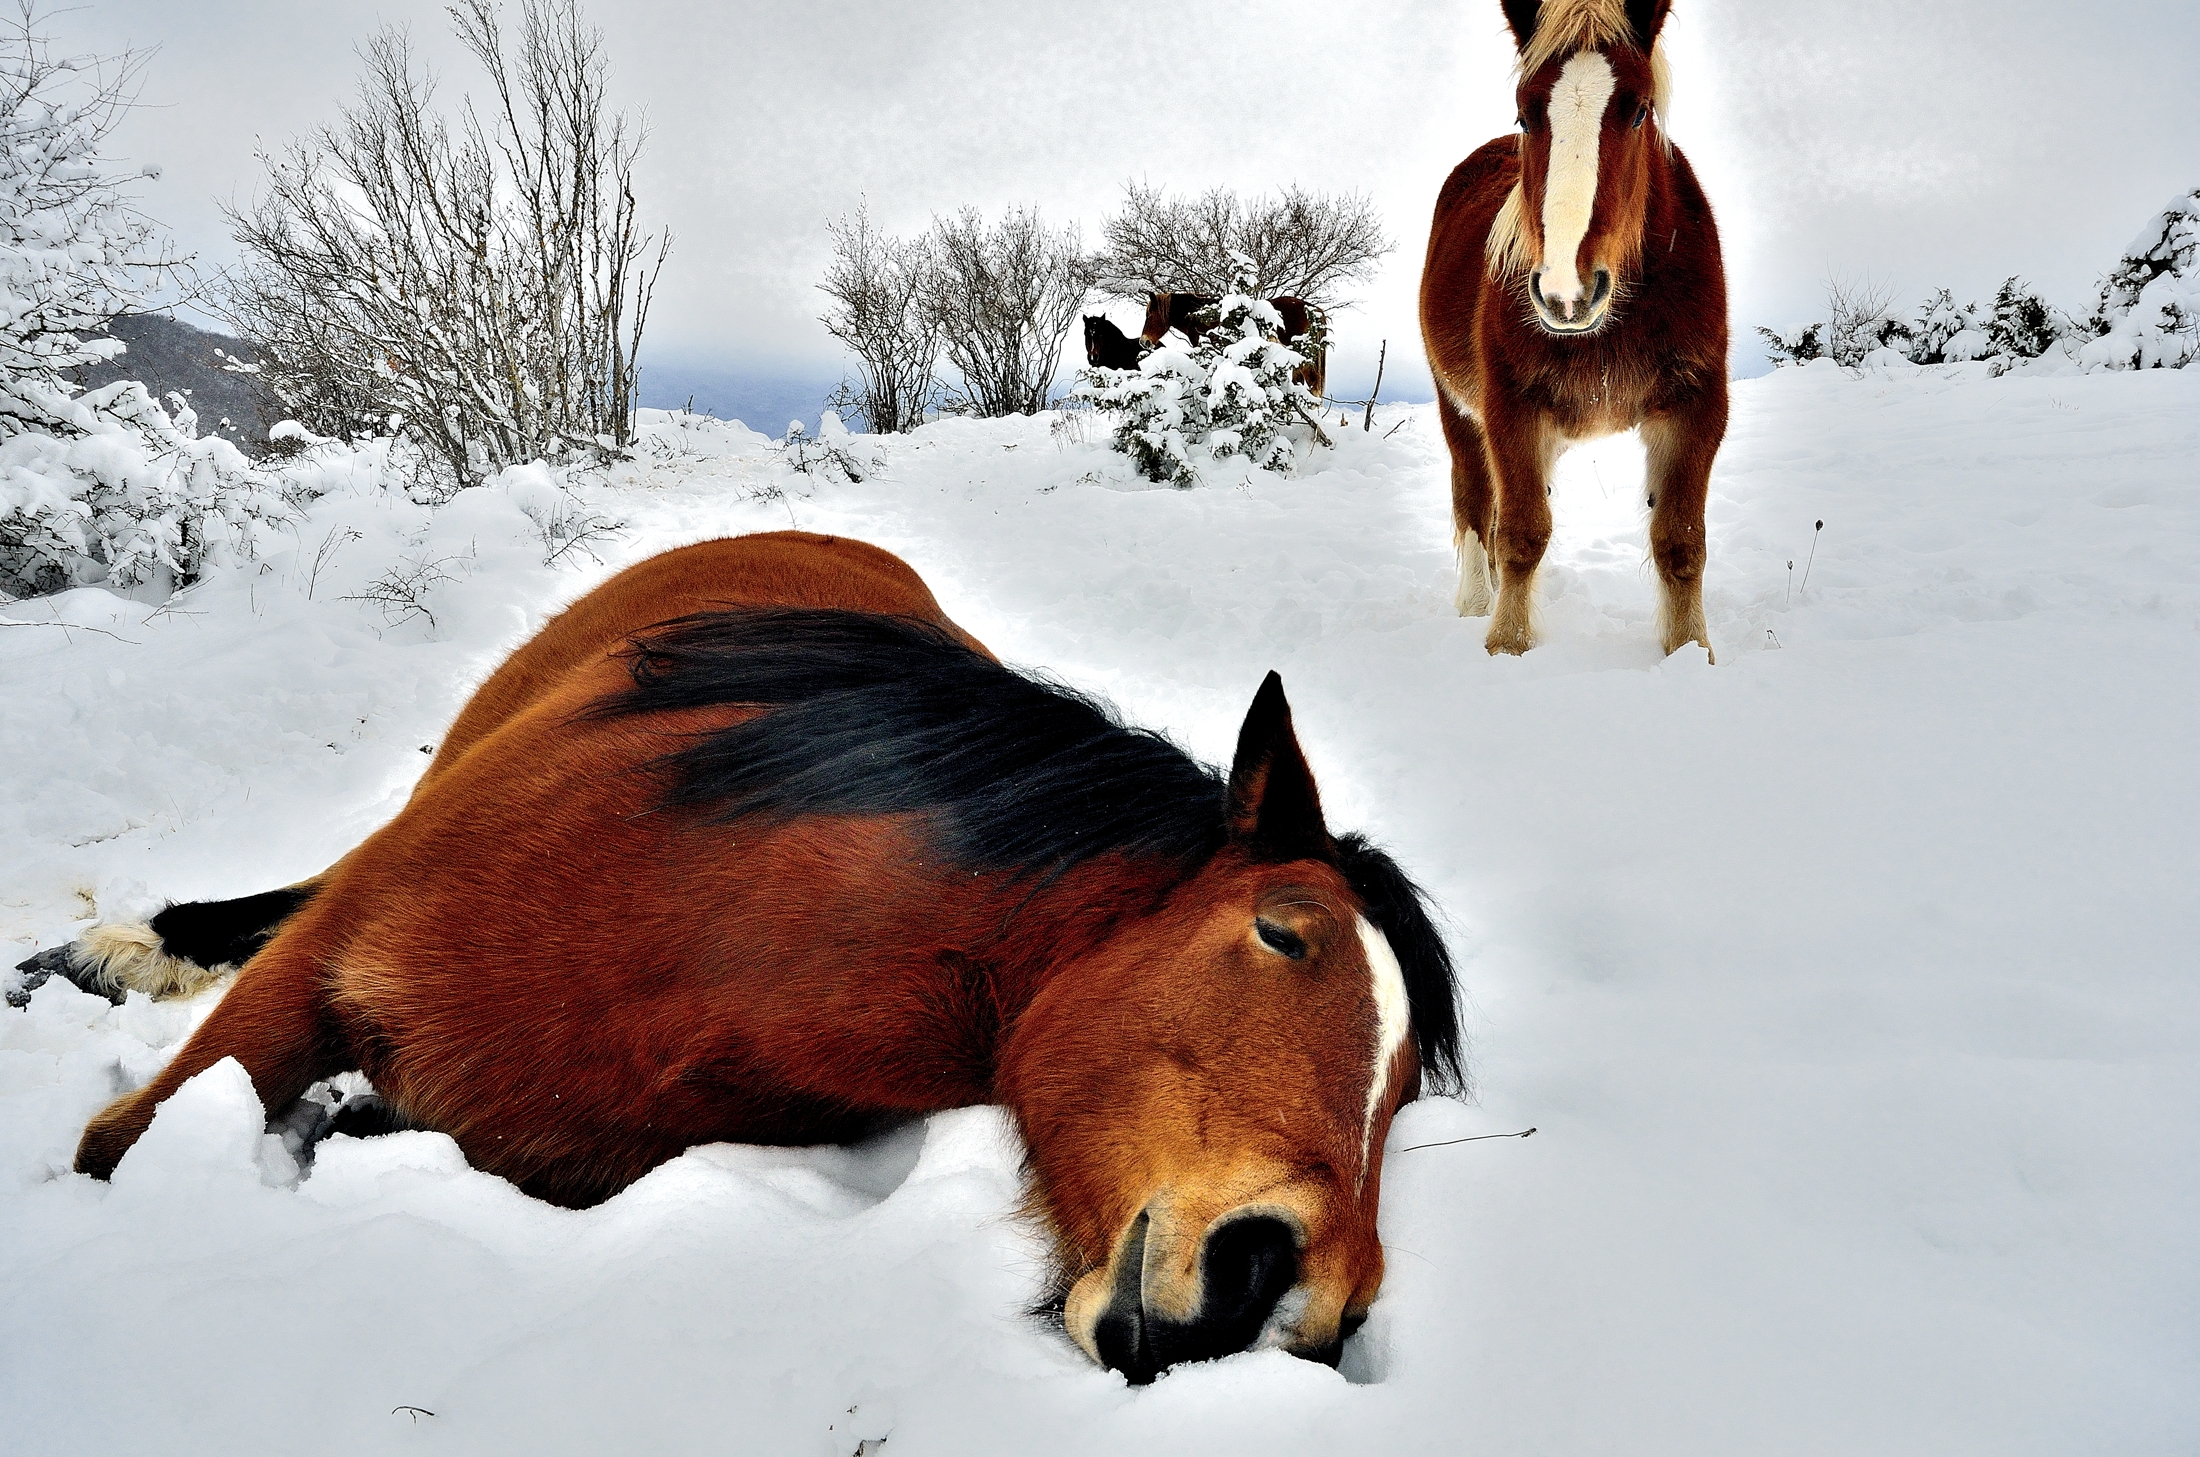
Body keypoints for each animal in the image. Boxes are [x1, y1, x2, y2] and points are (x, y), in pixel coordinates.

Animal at [40, 531, 1463, 1385]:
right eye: (1279, 930)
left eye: (1408, 1085)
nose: (1290, 1298)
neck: (697, 955)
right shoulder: (322, 969)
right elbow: (119, 1140)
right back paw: (125, 949)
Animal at [1419, 0, 1728, 658]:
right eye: (1524, 113)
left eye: (1637, 109)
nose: (1566, 290)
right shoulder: (1510, 407)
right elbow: (1520, 533)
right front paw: (1505, 646)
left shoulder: (1696, 405)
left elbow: (1681, 543)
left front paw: (1690, 653)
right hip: (1459, 410)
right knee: (1474, 501)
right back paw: (1474, 602)